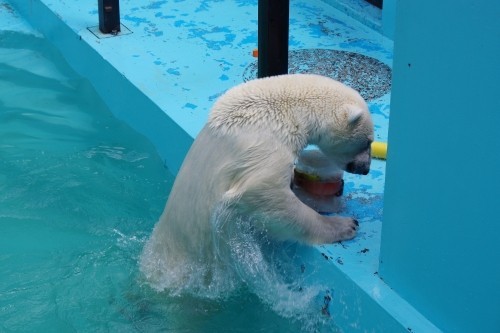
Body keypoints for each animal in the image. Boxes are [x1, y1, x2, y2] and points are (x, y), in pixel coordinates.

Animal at [139, 73, 374, 294]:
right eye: (368, 141)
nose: (365, 169)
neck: (287, 110)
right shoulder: (268, 146)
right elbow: (265, 195)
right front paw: (346, 224)